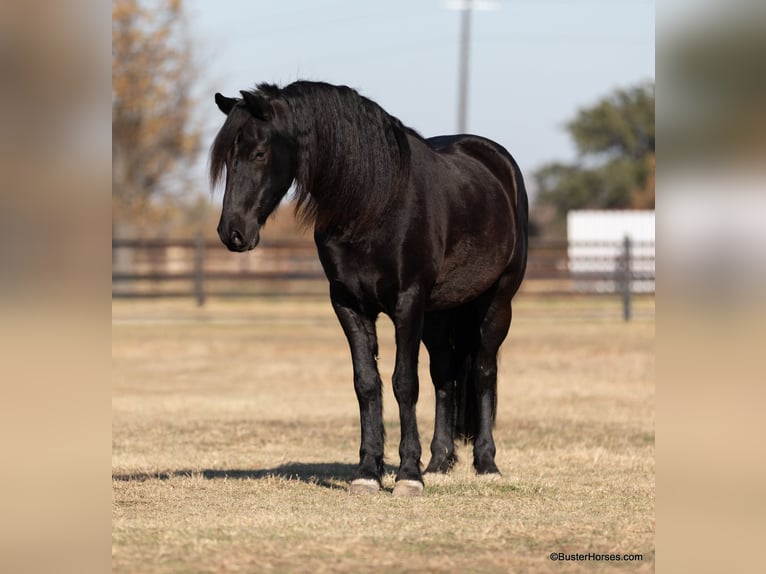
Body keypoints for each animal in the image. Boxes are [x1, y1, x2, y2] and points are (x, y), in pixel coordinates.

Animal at [210, 81, 528, 496]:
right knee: (445, 375)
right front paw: (367, 472)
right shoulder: (348, 303)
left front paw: (408, 475)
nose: (232, 232)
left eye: (259, 153)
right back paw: (439, 463)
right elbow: (366, 383)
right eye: (226, 158)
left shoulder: (408, 301)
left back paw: (486, 463)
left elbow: (404, 383)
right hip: (439, 313)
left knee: (484, 370)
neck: (373, 204)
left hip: (496, 302)